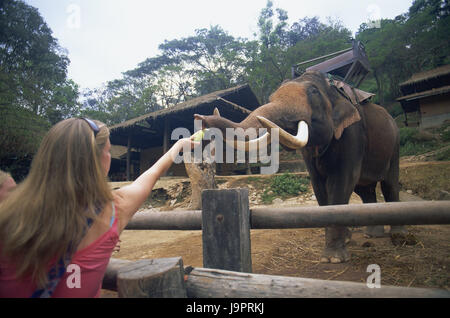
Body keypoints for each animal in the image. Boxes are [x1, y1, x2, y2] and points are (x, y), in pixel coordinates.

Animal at [195, 71, 406, 262]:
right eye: (271, 97)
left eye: (313, 92)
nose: (201, 118)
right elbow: (319, 187)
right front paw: (338, 246)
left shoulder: (352, 134)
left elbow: (342, 182)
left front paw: (333, 258)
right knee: (365, 190)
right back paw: (372, 234)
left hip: (395, 144)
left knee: (389, 184)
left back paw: (398, 235)